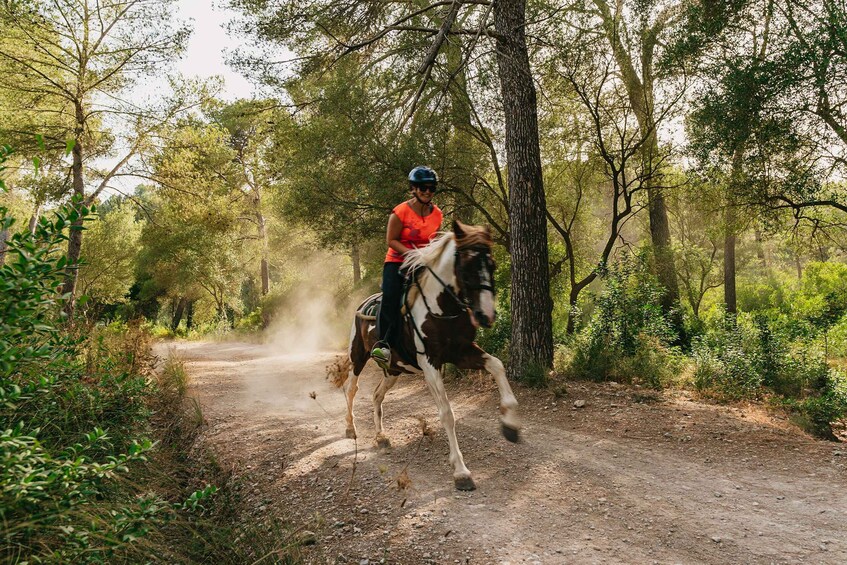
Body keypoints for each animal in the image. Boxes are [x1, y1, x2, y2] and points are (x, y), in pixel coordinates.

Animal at [342, 219, 520, 490]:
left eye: (492, 265)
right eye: (466, 266)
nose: (486, 315)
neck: (442, 309)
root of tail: (364, 303)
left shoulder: (462, 353)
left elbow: (497, 365)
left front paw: (510, 425)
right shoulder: (429, 363)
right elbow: (447, 413)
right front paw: (461, 471)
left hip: (393, 369)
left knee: (376, 395)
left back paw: (381, 437)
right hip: (358, 356)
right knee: (351, 388)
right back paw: (350, 428)